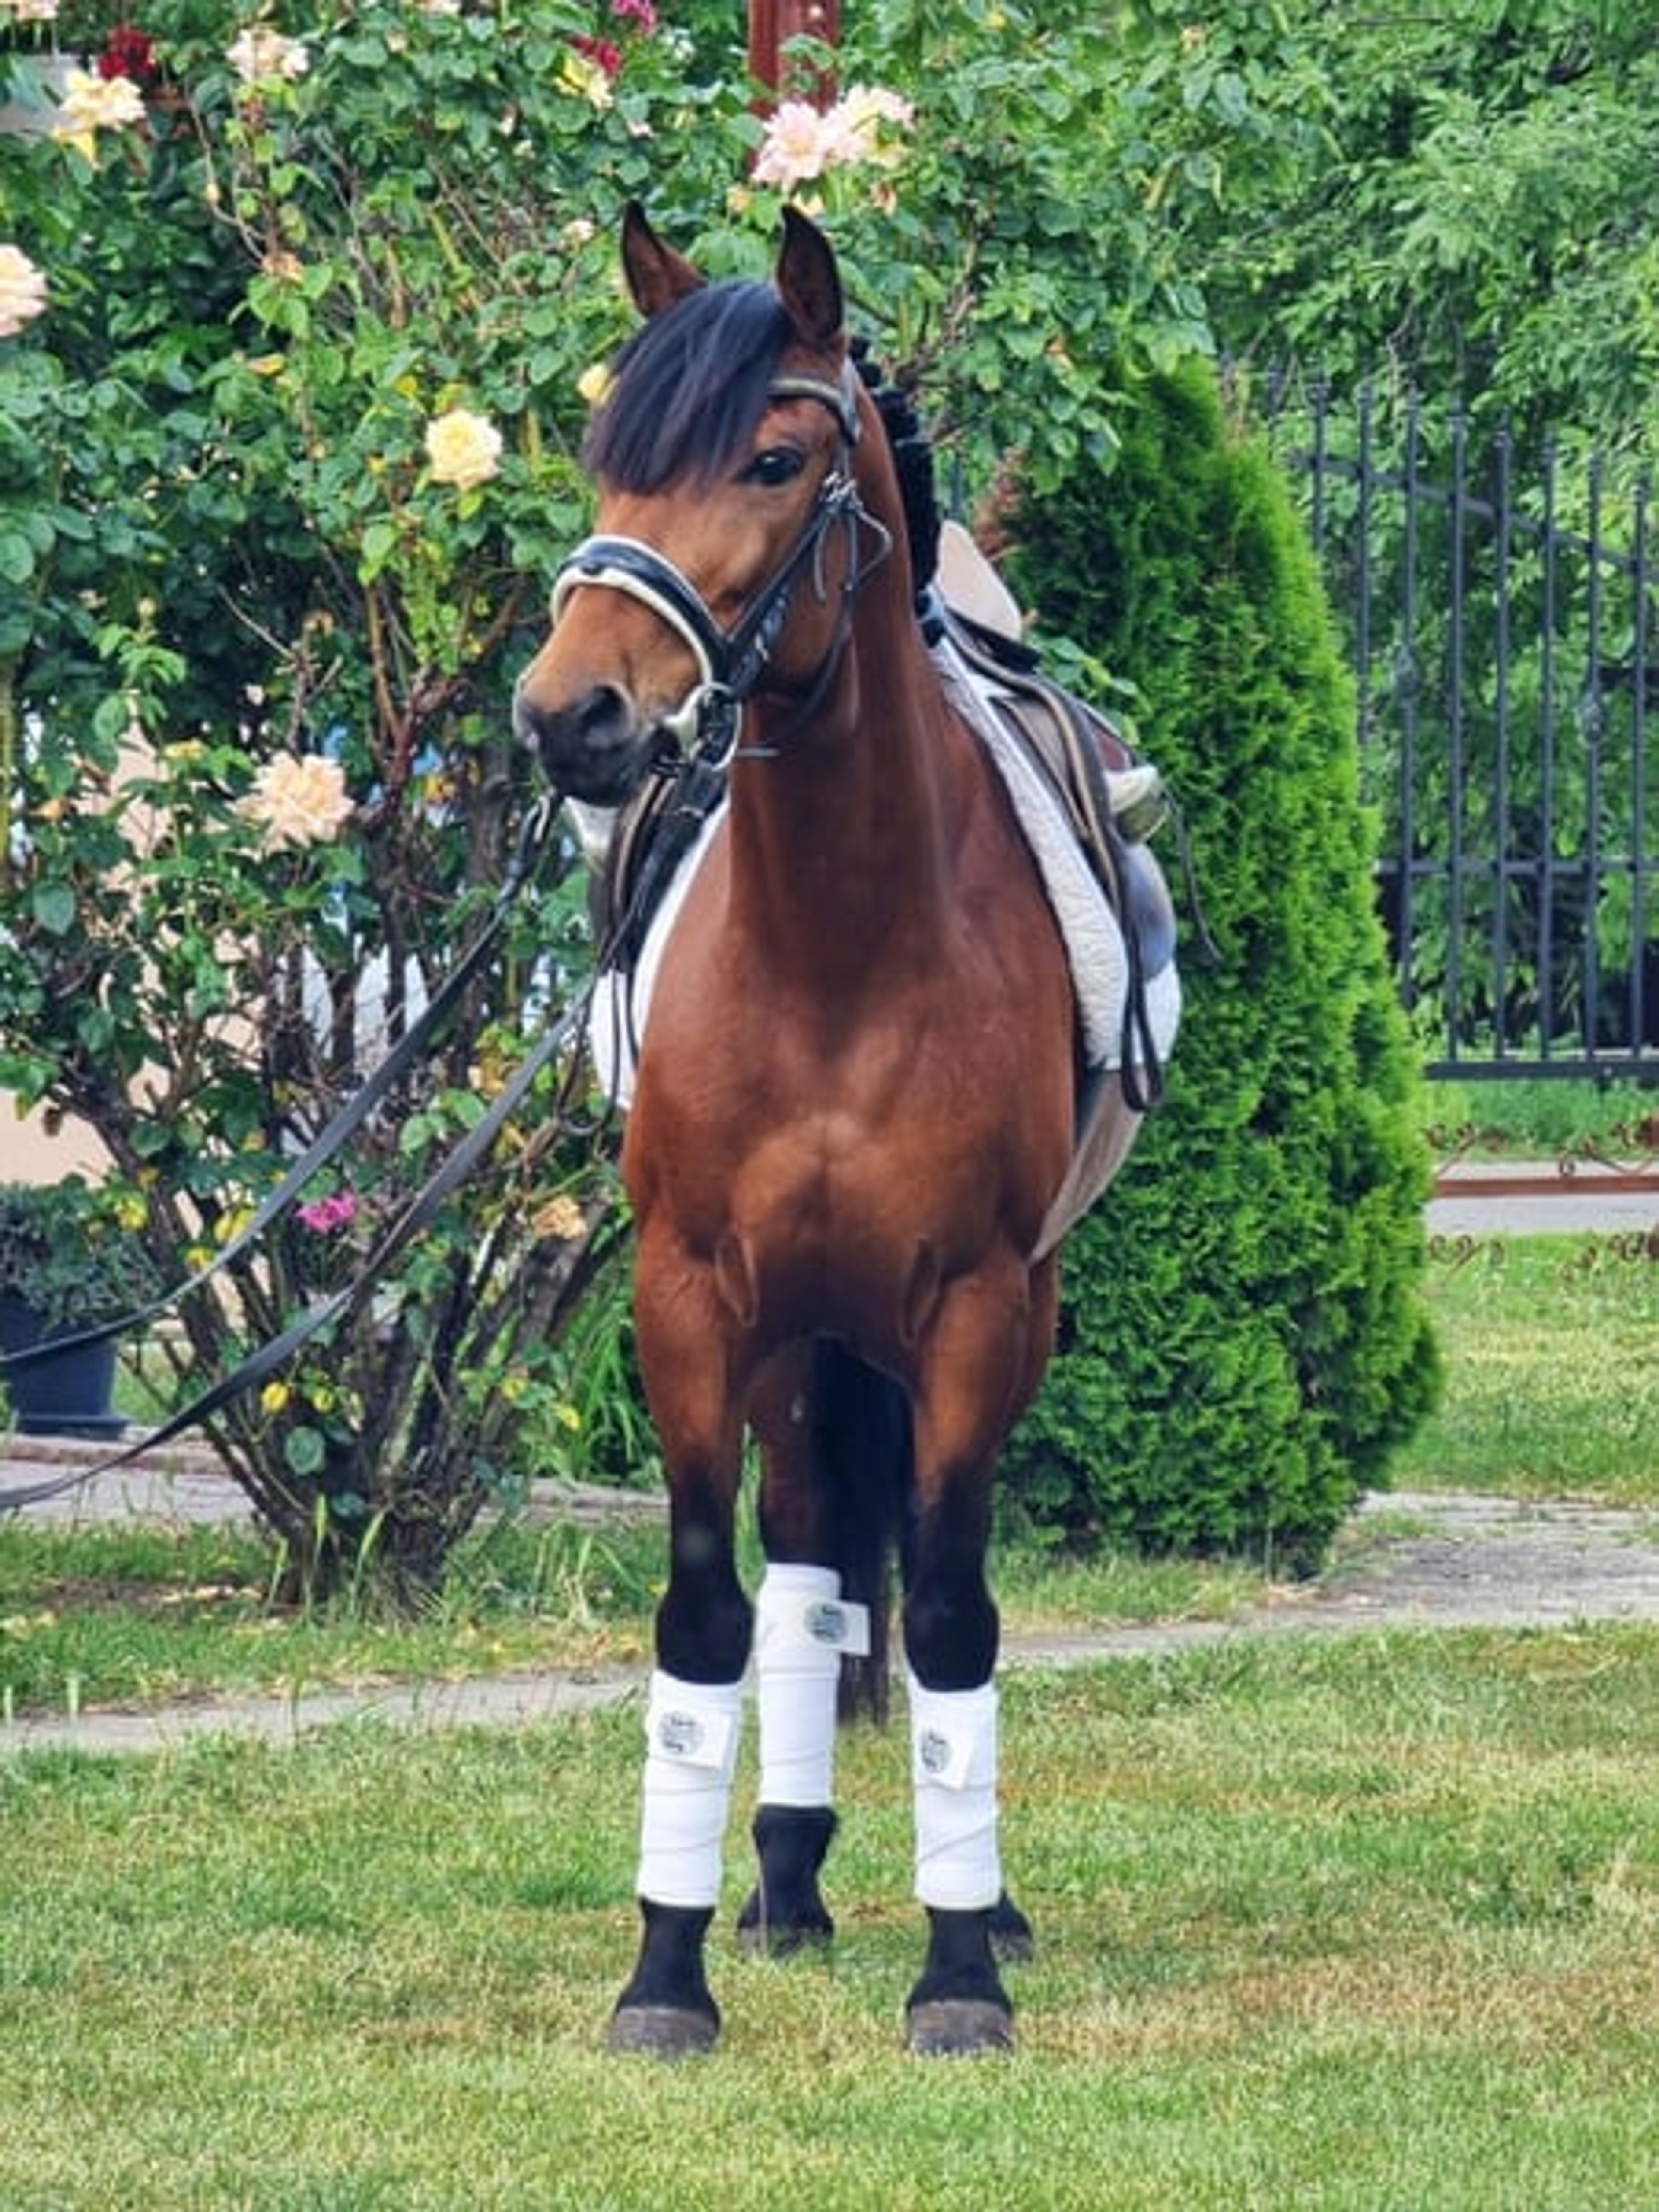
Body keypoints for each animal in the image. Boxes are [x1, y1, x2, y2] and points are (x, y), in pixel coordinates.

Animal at [513, 203, 1177, 2058]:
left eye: (773, 455)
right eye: (607, 450)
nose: (570, 714)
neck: (839, 944)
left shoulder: (967, 1308)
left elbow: (950, 1610)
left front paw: (957, 1971)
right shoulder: (687, 1299)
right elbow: (707, 1610)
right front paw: (665, 1972)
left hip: (979, 1323)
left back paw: (975, 1902)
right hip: (801, 1336)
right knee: (811, 1563)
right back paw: (787, 1878)